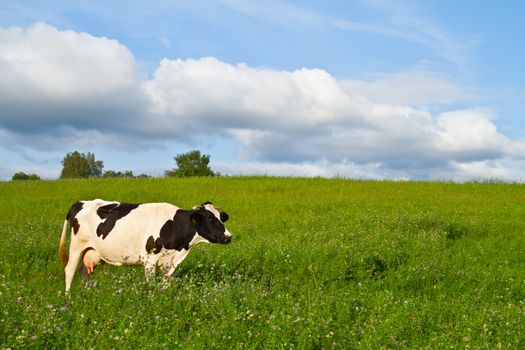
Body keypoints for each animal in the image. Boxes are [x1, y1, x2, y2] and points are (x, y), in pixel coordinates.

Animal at [57, 200, 231, 292]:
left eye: (221, 218)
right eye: (209, 218)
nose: (228, 236)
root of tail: (80, 202)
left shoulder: (169, 263)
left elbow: (164, 284)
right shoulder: (149, 260)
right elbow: (151, 285)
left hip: (89, 250)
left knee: (83, 272)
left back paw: (85, 294)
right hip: (76, 247)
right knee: (70, 271)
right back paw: (69, 298)